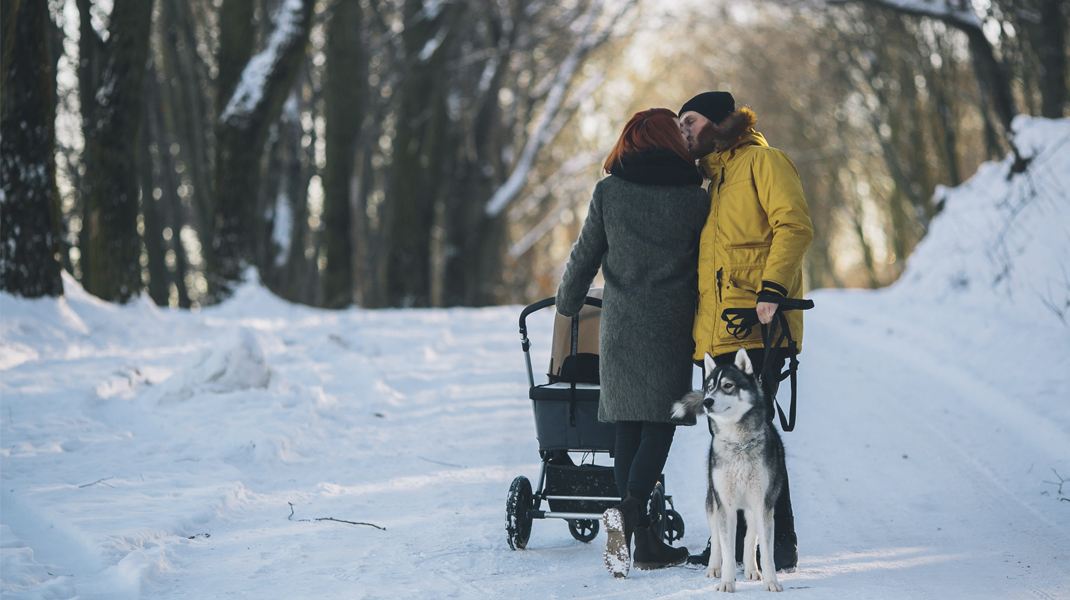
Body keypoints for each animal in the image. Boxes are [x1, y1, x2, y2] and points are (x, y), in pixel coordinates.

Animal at [676, 348, 787, 590]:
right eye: (709, 387)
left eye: (728, 385)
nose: (707, 401)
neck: (739, 444)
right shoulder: (724, 505)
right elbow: (727, 548)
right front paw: (727, 582)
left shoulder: (763, 504)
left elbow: (765, 549)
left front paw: (771, 582)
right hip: (712, 501)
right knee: (717, 539)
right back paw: (713, 567)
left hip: (754, 506)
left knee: (749, 537)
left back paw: (752, 569)